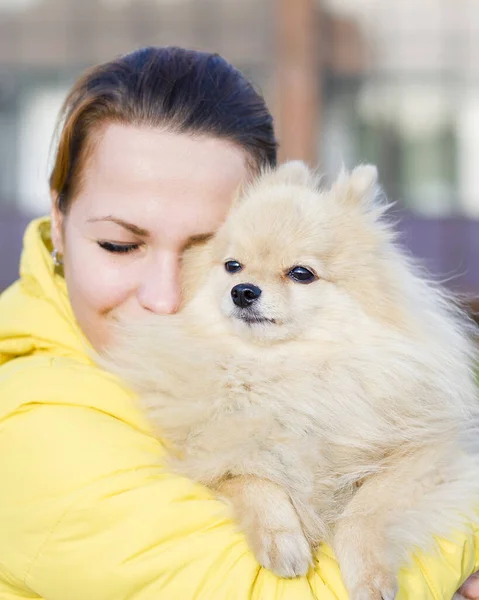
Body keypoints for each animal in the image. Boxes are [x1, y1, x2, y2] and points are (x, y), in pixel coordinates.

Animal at [100, 162, 479, 596]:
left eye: (301, 273)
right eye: (232, 266)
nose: (242, 290)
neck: (280, 372)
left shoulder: (427, 457)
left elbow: (364, 510)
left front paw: (369, 576)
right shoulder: (207, 458)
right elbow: (253, 479)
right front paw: (282, 542)